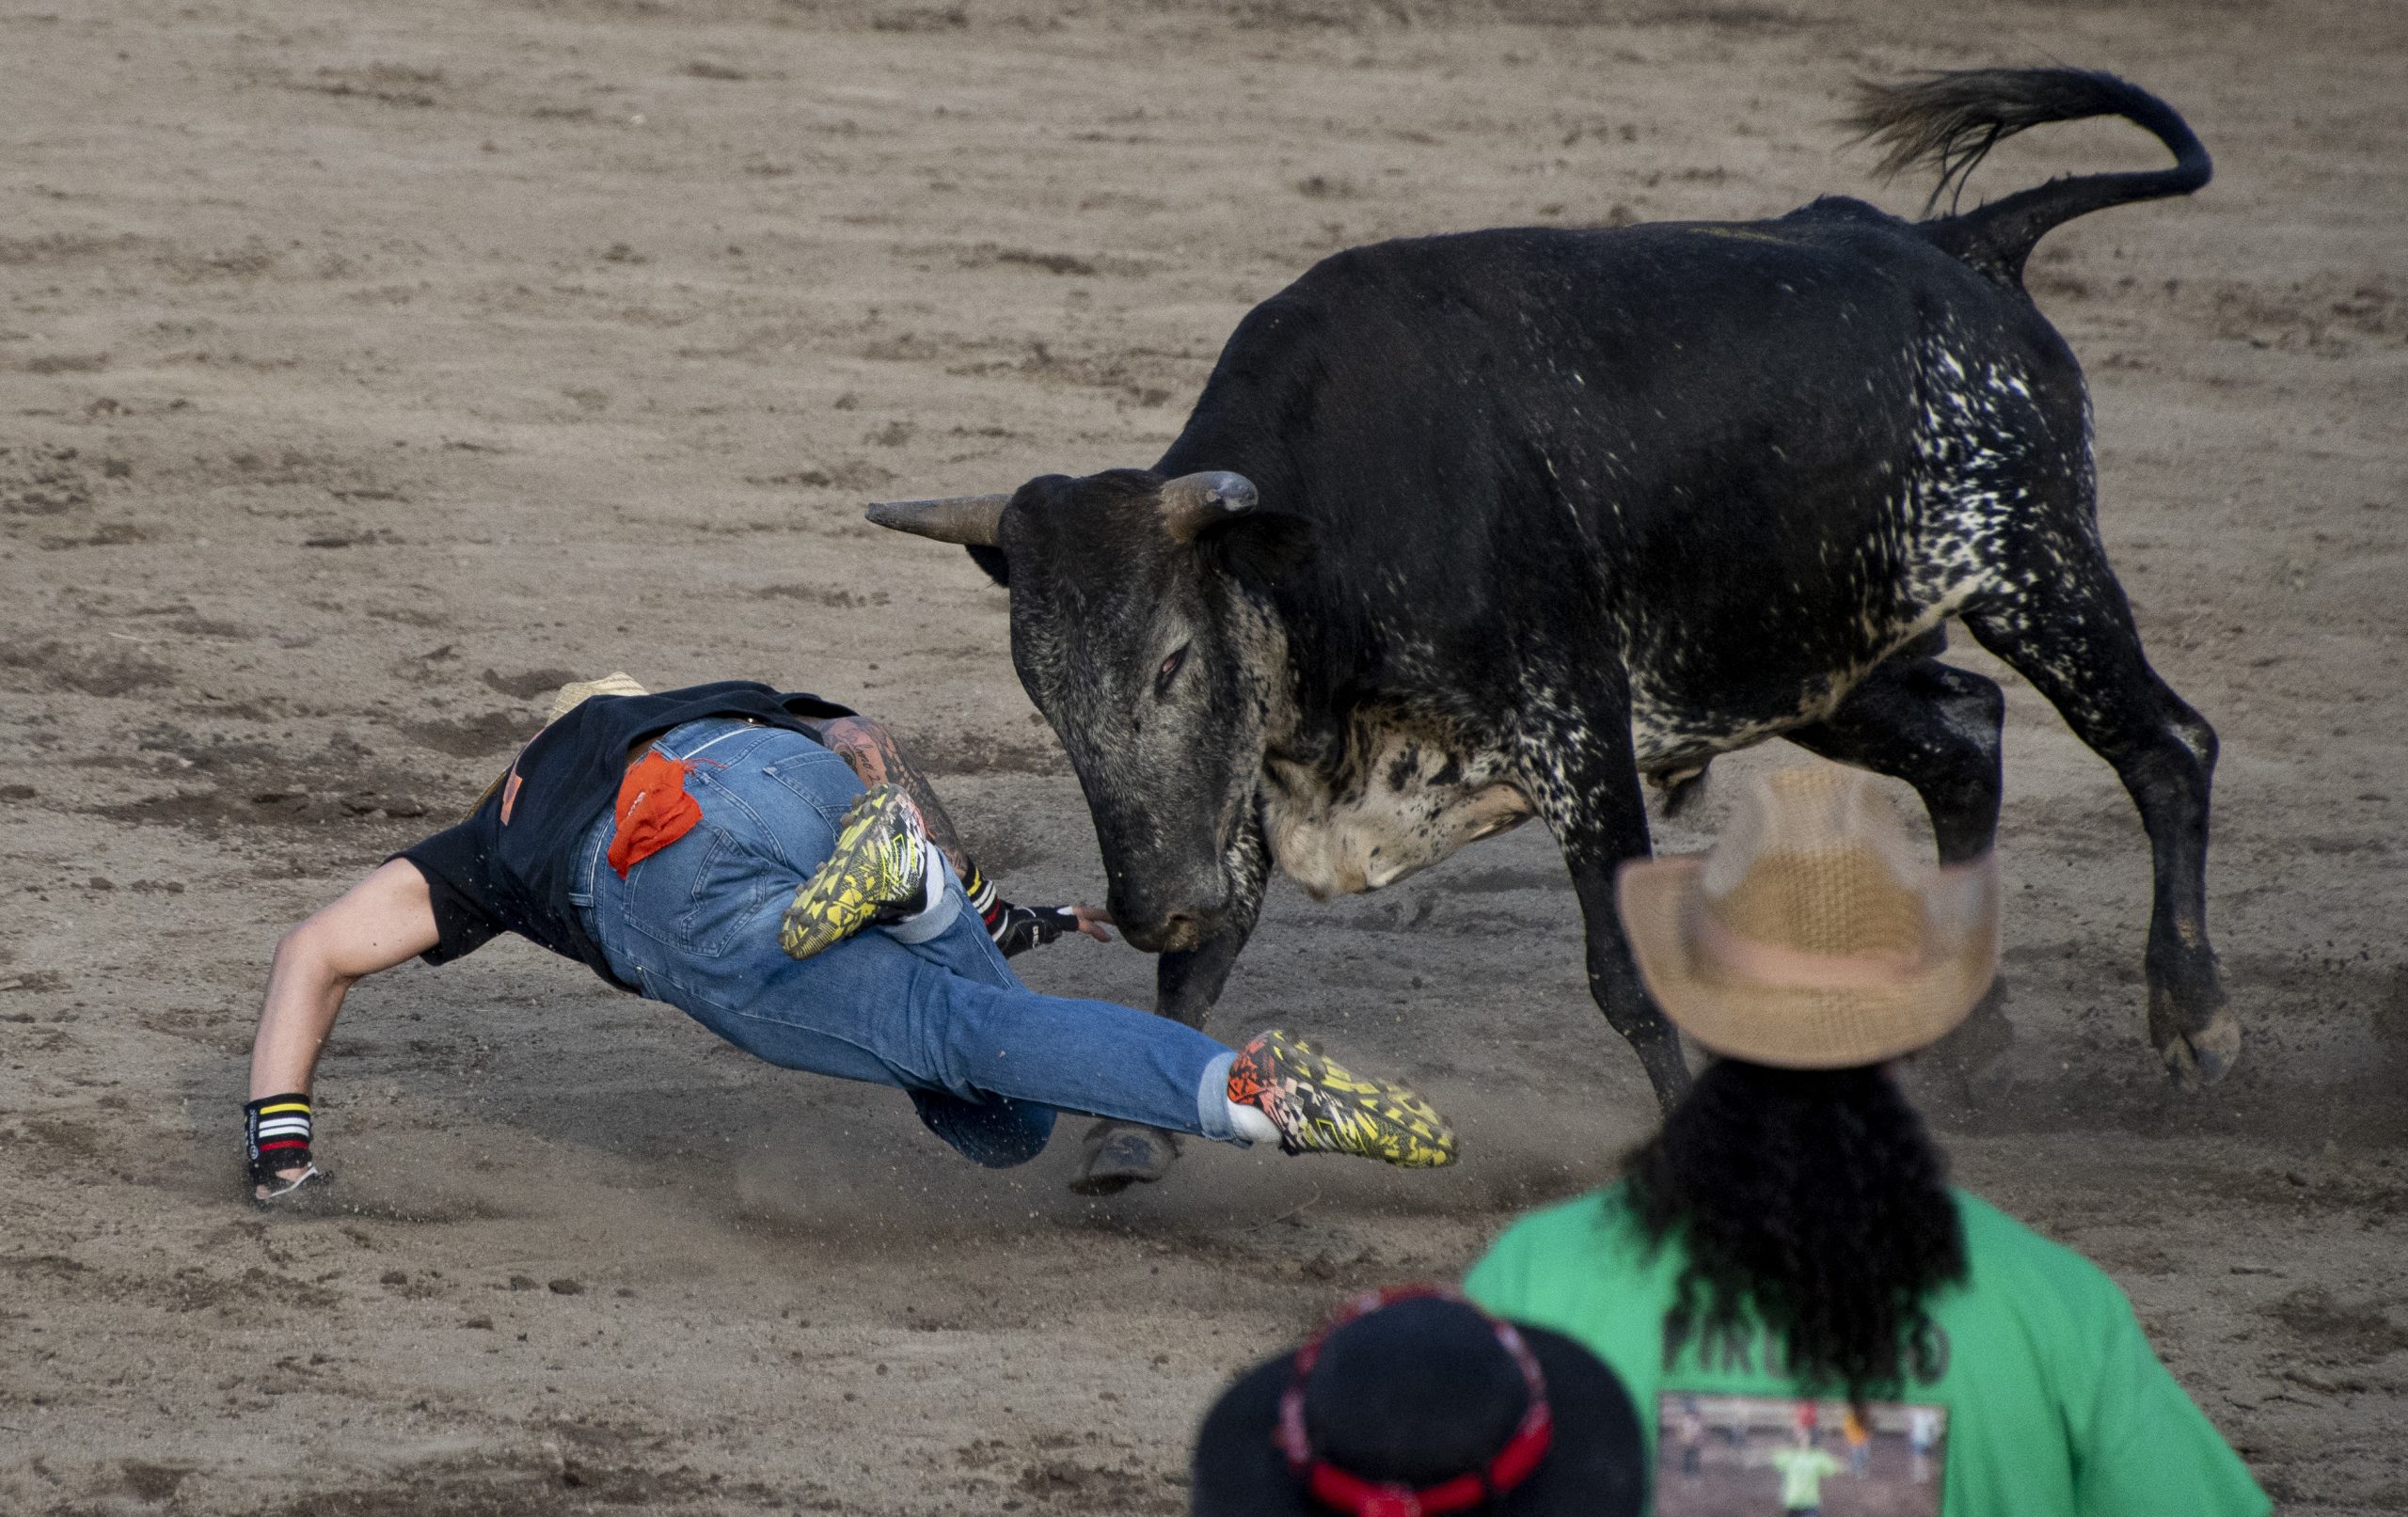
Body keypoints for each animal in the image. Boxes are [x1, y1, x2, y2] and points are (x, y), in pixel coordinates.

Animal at [866, 68, 2215, 1189]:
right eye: (1040, 692)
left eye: (1173, 660)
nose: (1150, 903)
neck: (1337, 534)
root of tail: (1956, 249)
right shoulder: (1249, 772)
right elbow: (1204, 958)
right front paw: (1130, 1137)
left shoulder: (1577, 730)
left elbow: (1625, 974)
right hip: (1817, 667)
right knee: (1968, 736)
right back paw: (1967, 1029)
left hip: (2036, 571)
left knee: (2165, 745)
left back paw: (2193, 1021)